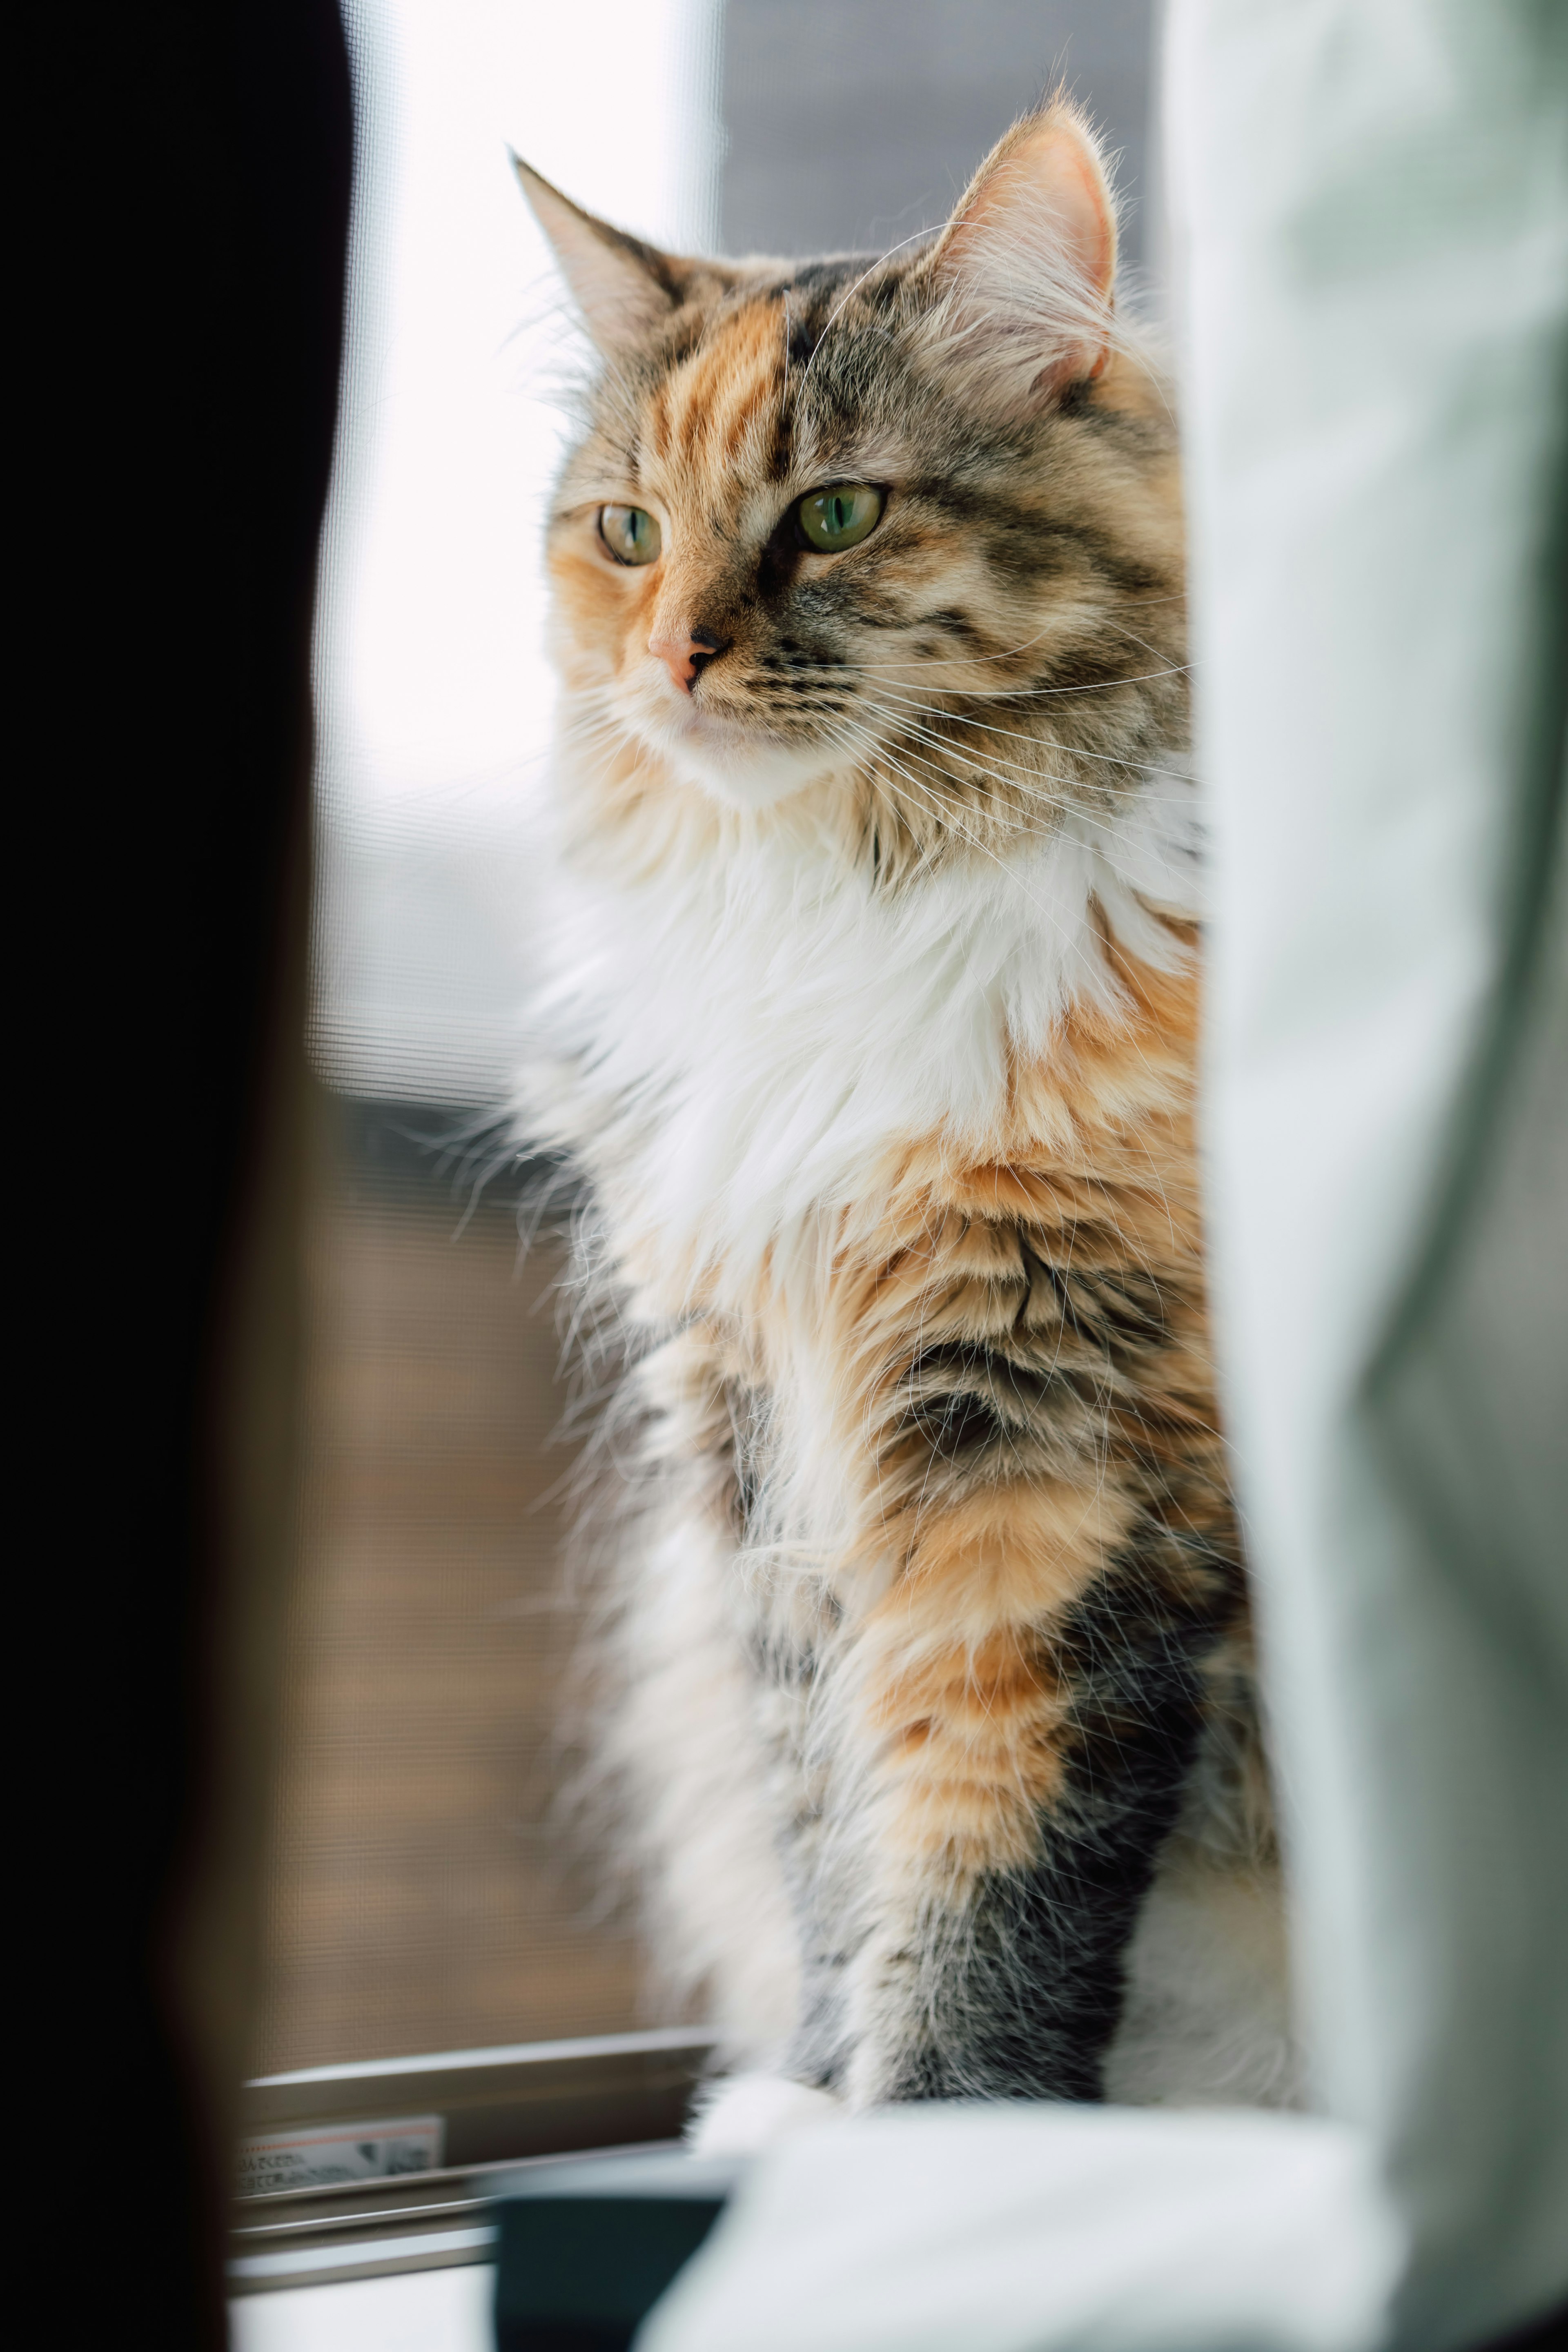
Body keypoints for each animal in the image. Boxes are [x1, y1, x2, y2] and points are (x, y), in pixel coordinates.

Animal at [514, 101, 1297, 2145]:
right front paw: (806, 2099)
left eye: (835, 519)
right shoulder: (764, 1445)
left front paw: (938, 2144)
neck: (843, 891)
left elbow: (987, 1865)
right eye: (628, 533)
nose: (676, 658)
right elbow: (827, 1818)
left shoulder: (1052, 1457)